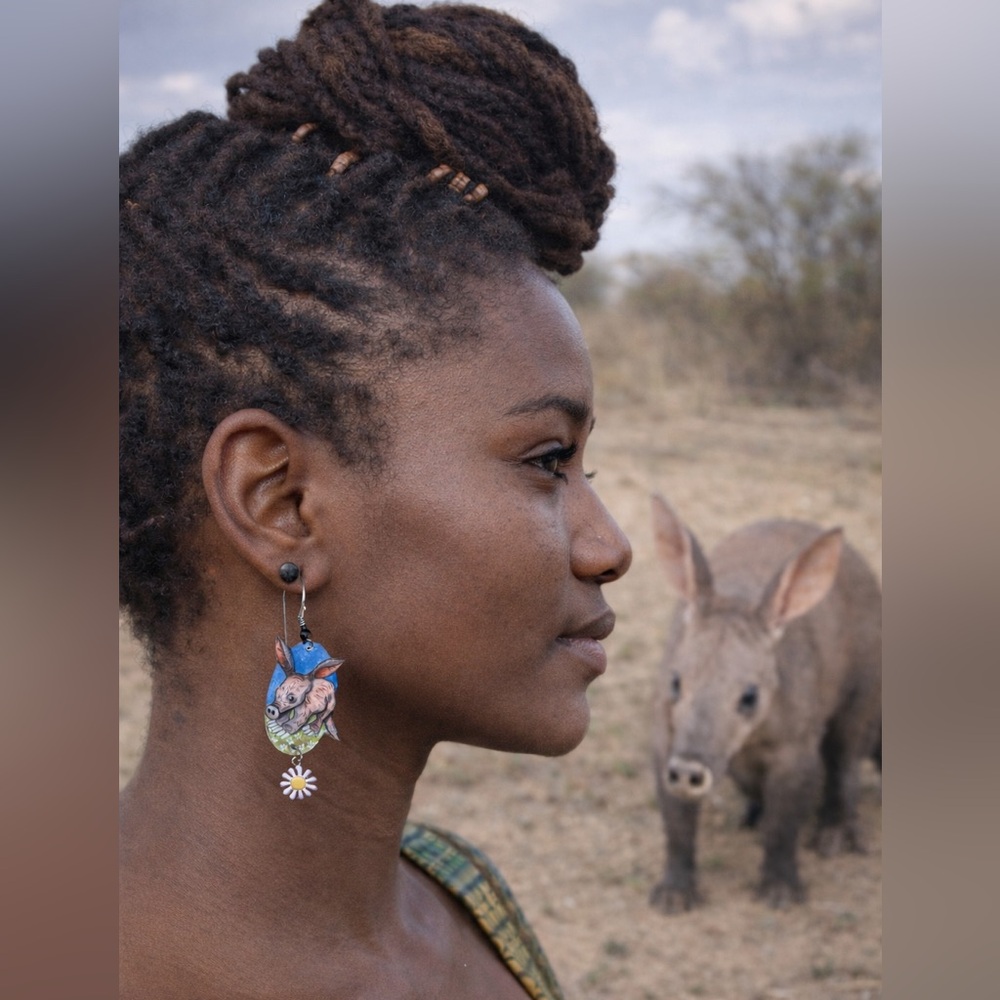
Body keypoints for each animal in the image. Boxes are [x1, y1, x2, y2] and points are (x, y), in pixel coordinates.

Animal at [649, 494, 881, 911]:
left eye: (750, 696)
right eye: (675, 682)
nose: (689, 772)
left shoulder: (796, 743)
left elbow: (785, 821)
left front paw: (781, 890)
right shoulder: (666, 735)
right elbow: (676, 821)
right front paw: (673, 894)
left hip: (865, 681)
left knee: (846, 758)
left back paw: (835, 836)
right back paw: (752, 815)